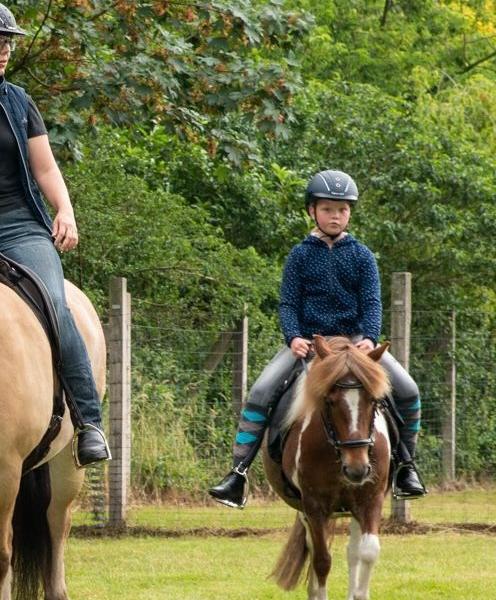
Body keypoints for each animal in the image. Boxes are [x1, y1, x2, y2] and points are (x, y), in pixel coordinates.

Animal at [264, 336, 392, 600]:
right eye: (330, 401)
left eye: (373, 401)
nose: (357, 469)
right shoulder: (314, 505)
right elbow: (322, 560)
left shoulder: (371, 498)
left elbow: (368, 552)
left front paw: (360, 593)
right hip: (306, 510)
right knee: (315, 550)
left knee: (353, 551)